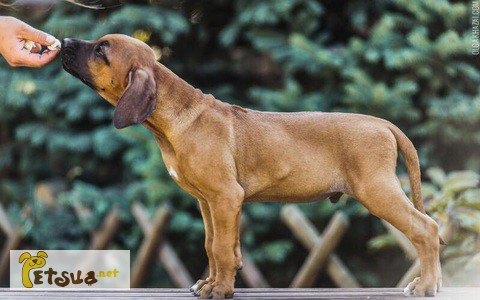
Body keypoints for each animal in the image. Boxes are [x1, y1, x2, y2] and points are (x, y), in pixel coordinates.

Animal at [62, 34, 444, 298]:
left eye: (101, 50)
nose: (64, 42)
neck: (178, 118)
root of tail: (382, 123)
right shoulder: (209, 202)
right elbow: (213, 246)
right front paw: (210, 283)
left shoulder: (226, 197)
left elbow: (221, 249)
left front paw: (220, 290)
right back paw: (434, 284)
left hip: (376, 189)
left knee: (425, 229)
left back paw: (425, 286)